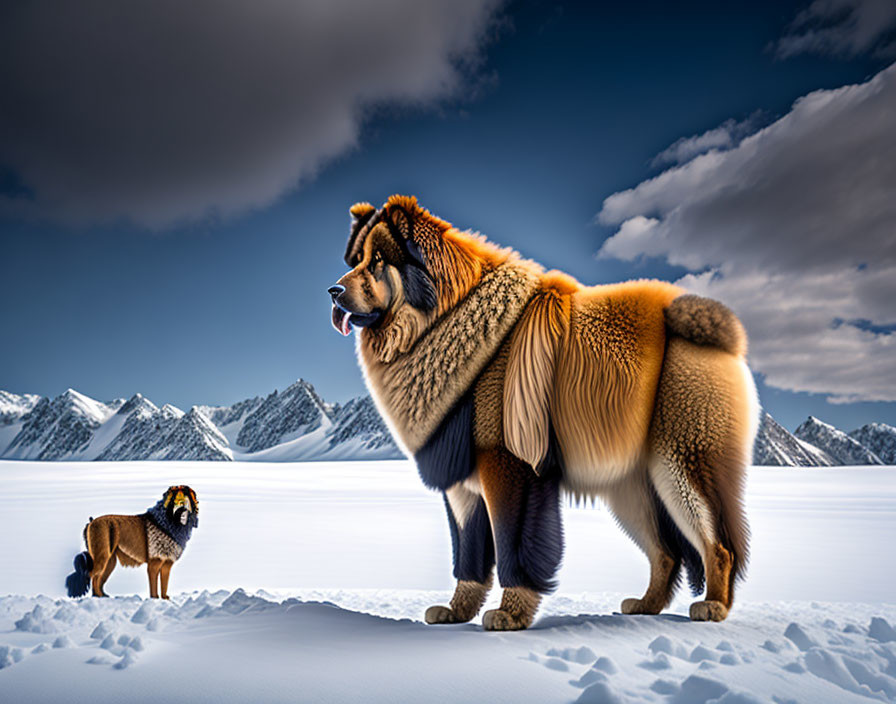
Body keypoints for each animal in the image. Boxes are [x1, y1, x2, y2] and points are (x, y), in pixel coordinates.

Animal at [65, 484, 199, 600]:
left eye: (184, 501)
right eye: (174, 501)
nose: (182, 511)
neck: (169, 523)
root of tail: (91, 522)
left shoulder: (167, 563)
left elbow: (164, 584)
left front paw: (165, 598)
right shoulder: (154, 563)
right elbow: (154, 586)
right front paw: (155, 599)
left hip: (110, 561)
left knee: (99, 579)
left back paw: (102, 596)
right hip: (102, 557)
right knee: (93, 576)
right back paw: (98, 596)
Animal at [328, 197, 756, 632]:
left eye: (378, 261)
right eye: (357, 260)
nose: (334, 290)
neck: (449, 319)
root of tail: (705, 321)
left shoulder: (507, 462)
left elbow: (513, 545)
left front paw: (510, 613)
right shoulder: (461, 481)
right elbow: (467, 554)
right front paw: (456, 611)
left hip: (680, 462)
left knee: (717, 544)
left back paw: (712, 606)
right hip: (631, 484)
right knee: (665, 551)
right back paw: (645, 604)